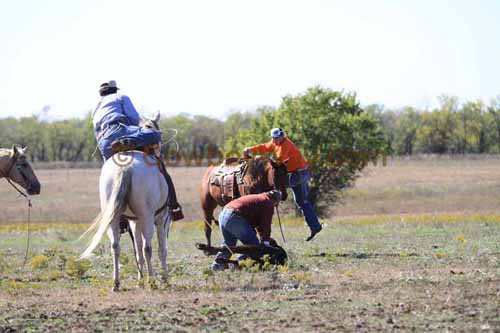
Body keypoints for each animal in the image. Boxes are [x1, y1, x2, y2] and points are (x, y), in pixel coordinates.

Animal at [80, 116, 170, 290]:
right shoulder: (162, 219)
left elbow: (137, 251)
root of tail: (125, 167)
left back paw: (116, 283)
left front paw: (139, 280)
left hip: (113, 217)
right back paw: (151, 281)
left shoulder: (134, 221)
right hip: (147, 216)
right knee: (148, 248)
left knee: (115, 246)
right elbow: (161, 250)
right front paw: (165, 280)